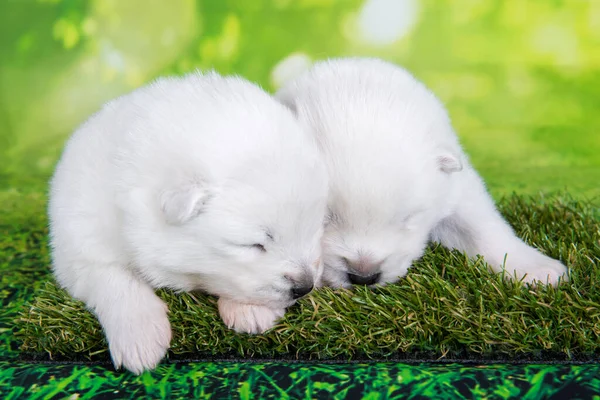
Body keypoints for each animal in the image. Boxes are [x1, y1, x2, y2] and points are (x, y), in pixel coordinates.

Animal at [48, 71, 328, 376]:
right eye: (253, 245)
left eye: (316, 228)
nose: (305, 287)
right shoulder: (79, 242)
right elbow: (114, 279)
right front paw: (140, 339)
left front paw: (251, 311)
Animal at [276, 57, 568, 288]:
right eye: (323, 217)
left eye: (407, 218)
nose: (364, 276)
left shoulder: (457, 189)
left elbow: (483, 227)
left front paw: (538, 270)